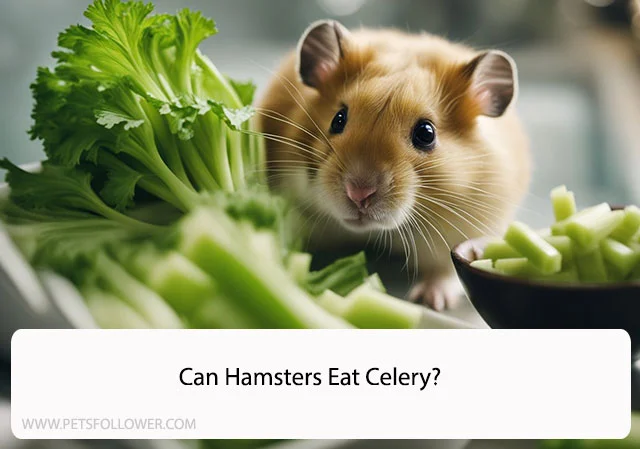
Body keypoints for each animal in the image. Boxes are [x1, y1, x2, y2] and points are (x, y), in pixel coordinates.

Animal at [258, 20, 531, 310]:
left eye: (426, 133)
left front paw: (430, 301)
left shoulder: (462, 230)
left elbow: (443, 270)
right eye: (338, 119)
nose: (359, 194)